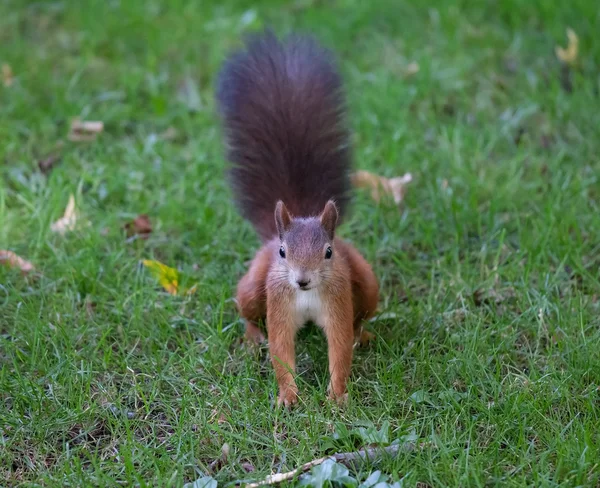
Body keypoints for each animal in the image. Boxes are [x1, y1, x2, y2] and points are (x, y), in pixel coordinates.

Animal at [213, 28, 378, 406]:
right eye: (283, 252)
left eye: (328, 252)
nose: (302, 280)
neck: (306, 295)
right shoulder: (279, 303)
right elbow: (281, 348)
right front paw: (288, 396)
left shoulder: (338, 301)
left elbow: (340, 347)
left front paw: (337, 395)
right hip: (253, 286)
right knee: (247, 308)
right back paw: (251, 337)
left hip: (366, 282)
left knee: (362, 314)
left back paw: (363, 334)